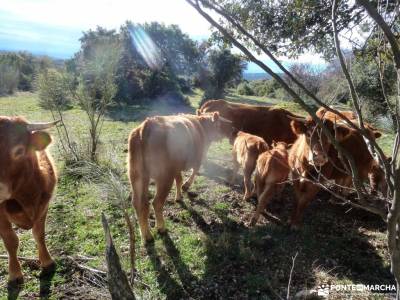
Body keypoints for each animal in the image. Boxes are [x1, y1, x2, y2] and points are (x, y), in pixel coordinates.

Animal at [0, 116, 57, 284]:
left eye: (19, 150)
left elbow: (39, 234)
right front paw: (15, 273)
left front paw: (47, 262)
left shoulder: (44, 205)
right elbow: (11, 240)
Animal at [128, 112, 233, 241]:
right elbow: (194, 172)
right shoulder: (198, 159)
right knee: (156, 203)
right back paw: (161, 228)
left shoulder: (176, 168)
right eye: (222, 123)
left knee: (139, 204)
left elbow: (179, 179)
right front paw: (186, 186)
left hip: (137, 177)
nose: (233, 128)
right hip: (164, 178)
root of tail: (148, 124)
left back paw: (146, 235)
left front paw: (178, 197)